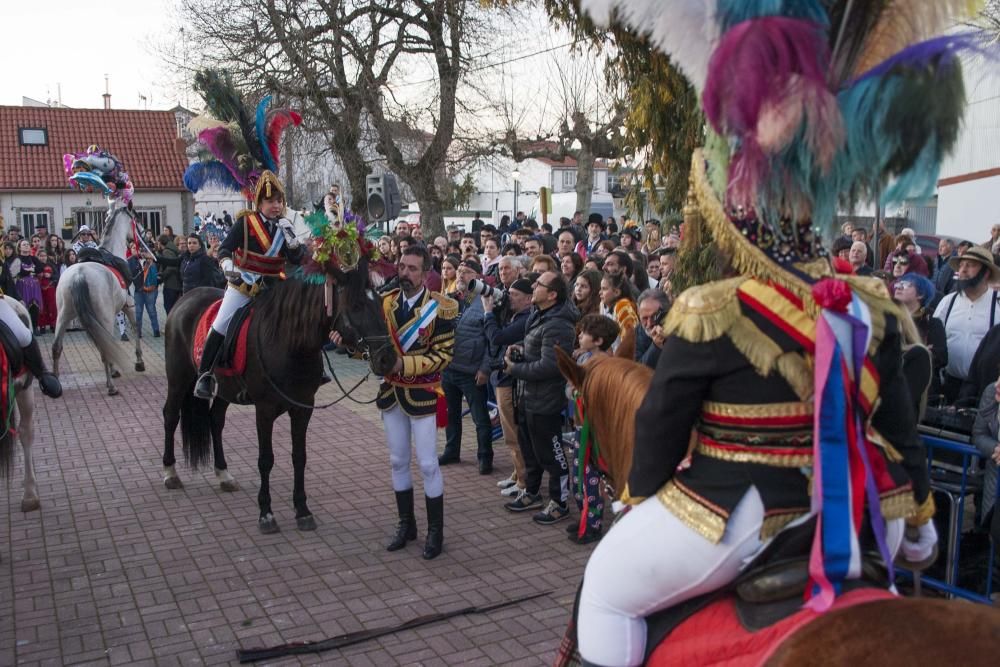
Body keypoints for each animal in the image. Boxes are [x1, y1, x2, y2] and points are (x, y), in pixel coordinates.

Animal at [51, 201, 145, 394]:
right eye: (137, 218)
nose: (145, 232)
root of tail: (79, 275)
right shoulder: (129, 305)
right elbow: (135, 328)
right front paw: (139, 362)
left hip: (64, 316)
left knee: (57, 347)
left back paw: (56, 382)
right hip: (105, 317)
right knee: (105, 345)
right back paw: (111, 387)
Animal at [160, 258, 394, 536]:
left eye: (379, 302)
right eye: (356, 305)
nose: (388, 359)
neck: (289, 342)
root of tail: (186, 298)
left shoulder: (303, 408)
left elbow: (299, 457)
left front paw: (302, 510)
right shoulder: (265, 410)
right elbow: (266, 460)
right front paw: (266, 514)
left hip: (224, 390)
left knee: (215, 421)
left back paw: (223, 474)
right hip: (178, 380)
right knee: (170, 416)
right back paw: (170, 472)